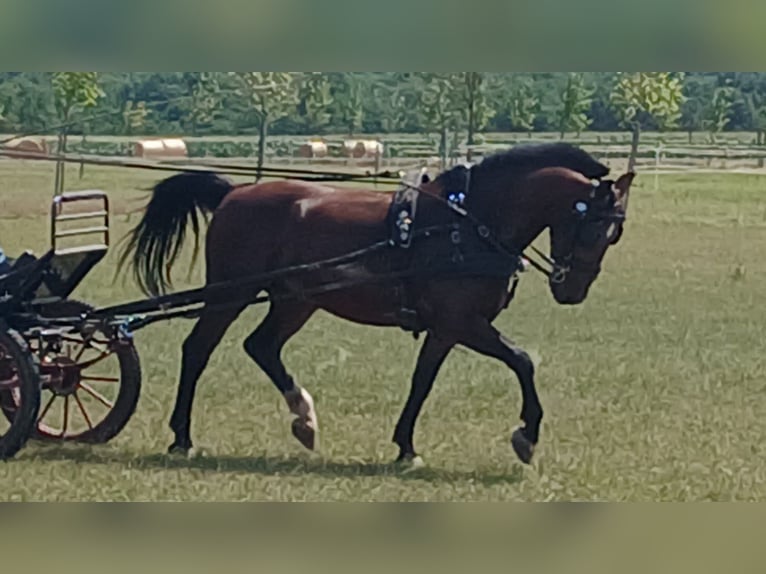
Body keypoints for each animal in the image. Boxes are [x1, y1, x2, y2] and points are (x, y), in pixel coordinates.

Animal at [118, 143, 634, 466]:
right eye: (593, 226)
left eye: (617, 233)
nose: (572, 291)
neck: (467, 224)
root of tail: (235, 192)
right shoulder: (464, 323)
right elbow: (523, 361)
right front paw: (527, 436)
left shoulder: (445, 329)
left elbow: (422, 383)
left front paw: (406, 446)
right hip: (231, 293)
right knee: (197, 350)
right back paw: (182, 436)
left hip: (295, 300)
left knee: (261, 346)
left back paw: (304, 419)